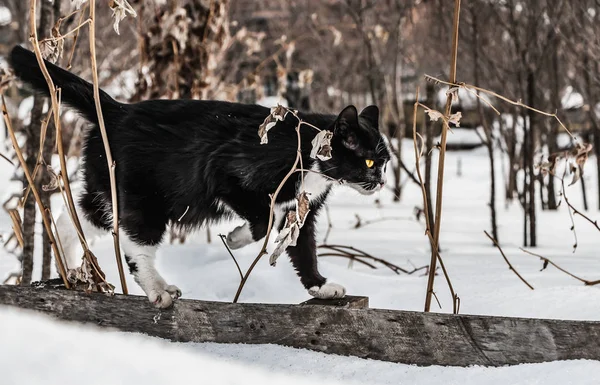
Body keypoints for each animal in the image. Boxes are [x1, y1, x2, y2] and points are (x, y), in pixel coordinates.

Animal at [11, 45, 394, 306]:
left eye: (385, 163)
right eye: (369, 162)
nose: (382, 181)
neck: (309, 152)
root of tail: (116, 110)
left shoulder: (303, 210)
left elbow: (304, 250)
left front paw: (321, 286)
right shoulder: (226, 173)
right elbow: (263, 221)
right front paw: (235, 238)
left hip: (110, 190)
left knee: (74, 218)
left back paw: (70, 268)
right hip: (146, 199)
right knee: (136, 246)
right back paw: (158, 289)